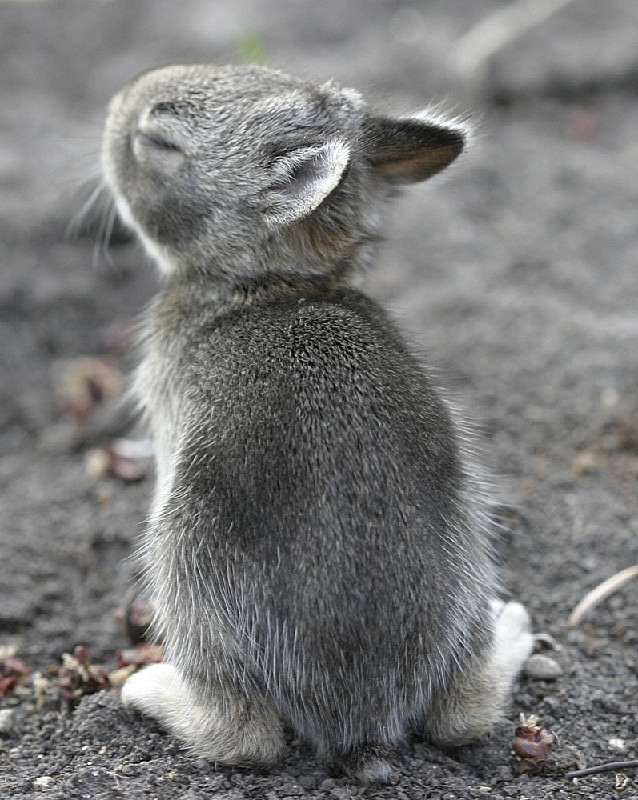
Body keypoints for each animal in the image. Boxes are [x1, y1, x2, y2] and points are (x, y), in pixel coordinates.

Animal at [104, 64, 536, 780]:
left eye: (159, 142)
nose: (119, 102)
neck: (269, 283)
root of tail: (361, 724)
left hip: (185, 562)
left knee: (243, 735)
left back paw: (147, 689)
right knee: (463, 716)